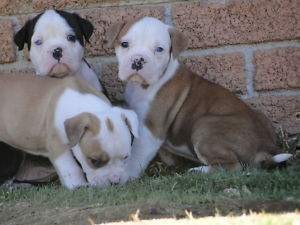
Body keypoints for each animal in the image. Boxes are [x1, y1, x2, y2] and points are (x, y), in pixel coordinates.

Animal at [0, 73, 138, 188]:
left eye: (126, 157)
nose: (115, 181)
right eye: (94, 161)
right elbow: (71, 169)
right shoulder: (58, 147)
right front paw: (78, 185)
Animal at [106, 17, 292, 183]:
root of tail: (266, 146)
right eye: (125, 44)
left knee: (233, 166)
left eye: (159, 49)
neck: (143, 85)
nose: (138, 61)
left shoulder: (150, 129)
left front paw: (124, 176)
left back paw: (197, 171)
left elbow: (136, 155)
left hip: (204, 125)